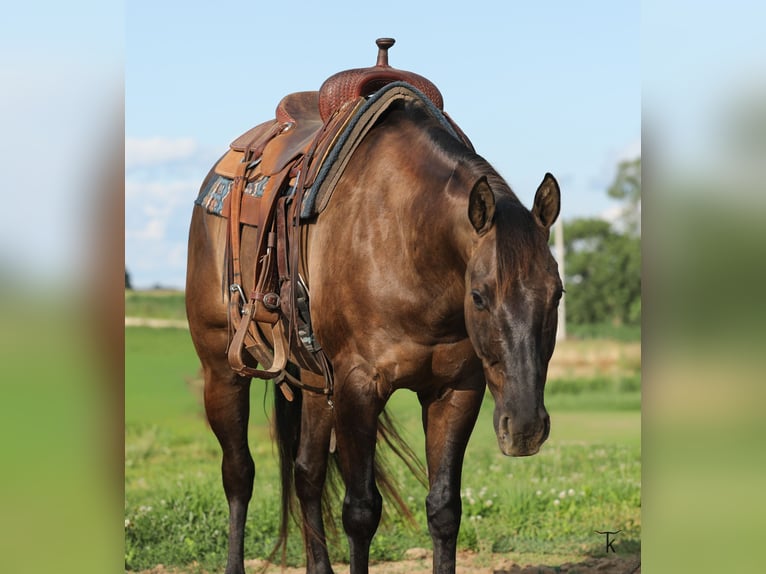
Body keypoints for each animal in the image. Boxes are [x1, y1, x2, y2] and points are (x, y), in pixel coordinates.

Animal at [186, 96, 562, 574]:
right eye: (478, 296)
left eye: (558, 293)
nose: (526, 427)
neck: (408, 240)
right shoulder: (358, 388)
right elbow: (361, 511)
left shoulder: (456, 389)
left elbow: (444, 508)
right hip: (222, 368)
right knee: (239, 474)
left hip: (314, 383)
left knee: (307, 474)